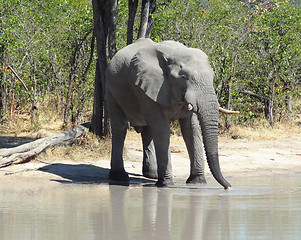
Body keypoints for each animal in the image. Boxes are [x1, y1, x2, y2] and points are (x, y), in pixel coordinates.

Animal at [105, 38, 230, 189]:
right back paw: (120, 177)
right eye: (184, 77)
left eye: (212, 77)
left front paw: (197, 182)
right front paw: (166, 184)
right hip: (111, 89)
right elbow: (162, 129)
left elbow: (190, 129)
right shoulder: (150, 86)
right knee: (120, 127)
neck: (176, 52)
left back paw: (152, 175)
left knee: (148, 130)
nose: (228, 186)